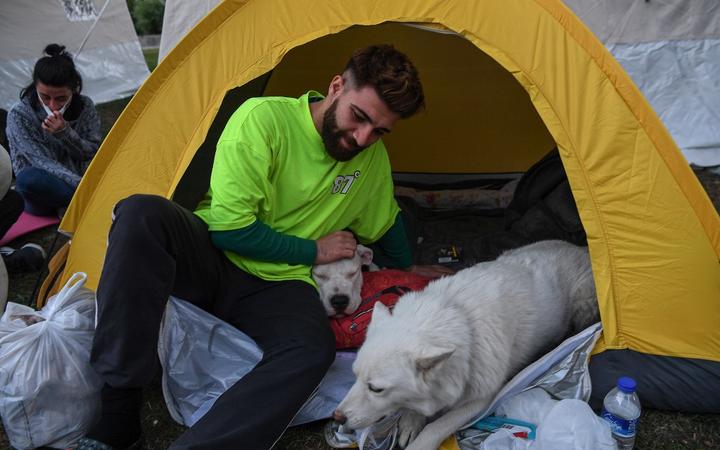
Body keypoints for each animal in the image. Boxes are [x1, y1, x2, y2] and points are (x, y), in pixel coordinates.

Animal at [334, 241, 600, 448]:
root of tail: (580, 247)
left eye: (376, 389)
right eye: (355, 376)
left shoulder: (482, 400)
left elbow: (436, 427)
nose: (337, 418)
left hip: (583, 305)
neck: (458, 314)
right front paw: (410, 421)